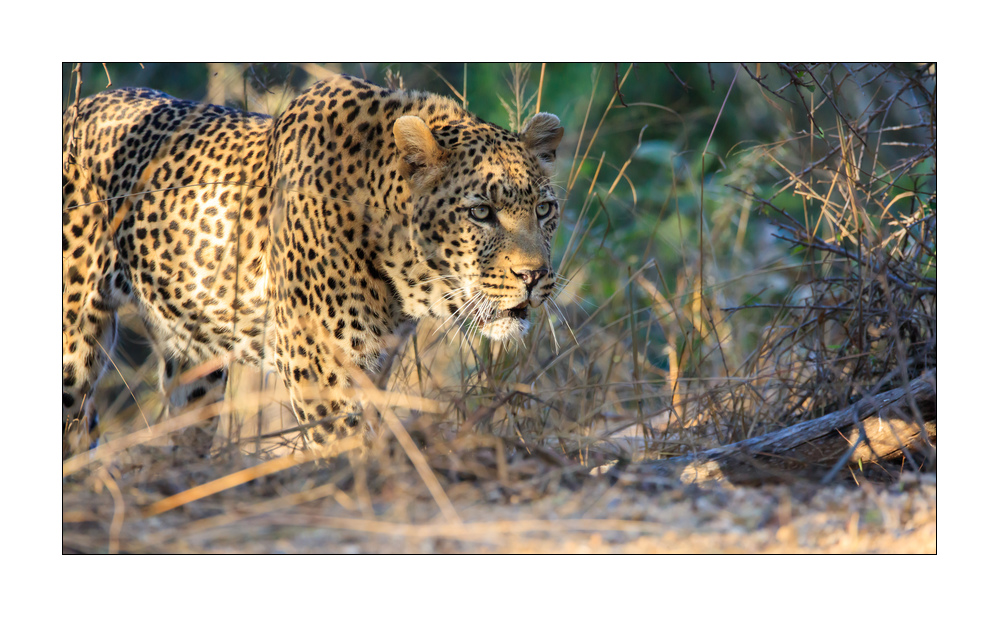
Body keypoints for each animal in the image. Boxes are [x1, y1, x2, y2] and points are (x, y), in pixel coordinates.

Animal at [62, 73, 564, 457]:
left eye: (544, 209)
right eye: (480, 212)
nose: (534, 277)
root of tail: (81, 104)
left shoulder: (373, 366)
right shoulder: (319, 369)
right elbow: (347, 450)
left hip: (194, 361)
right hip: (75, 340)